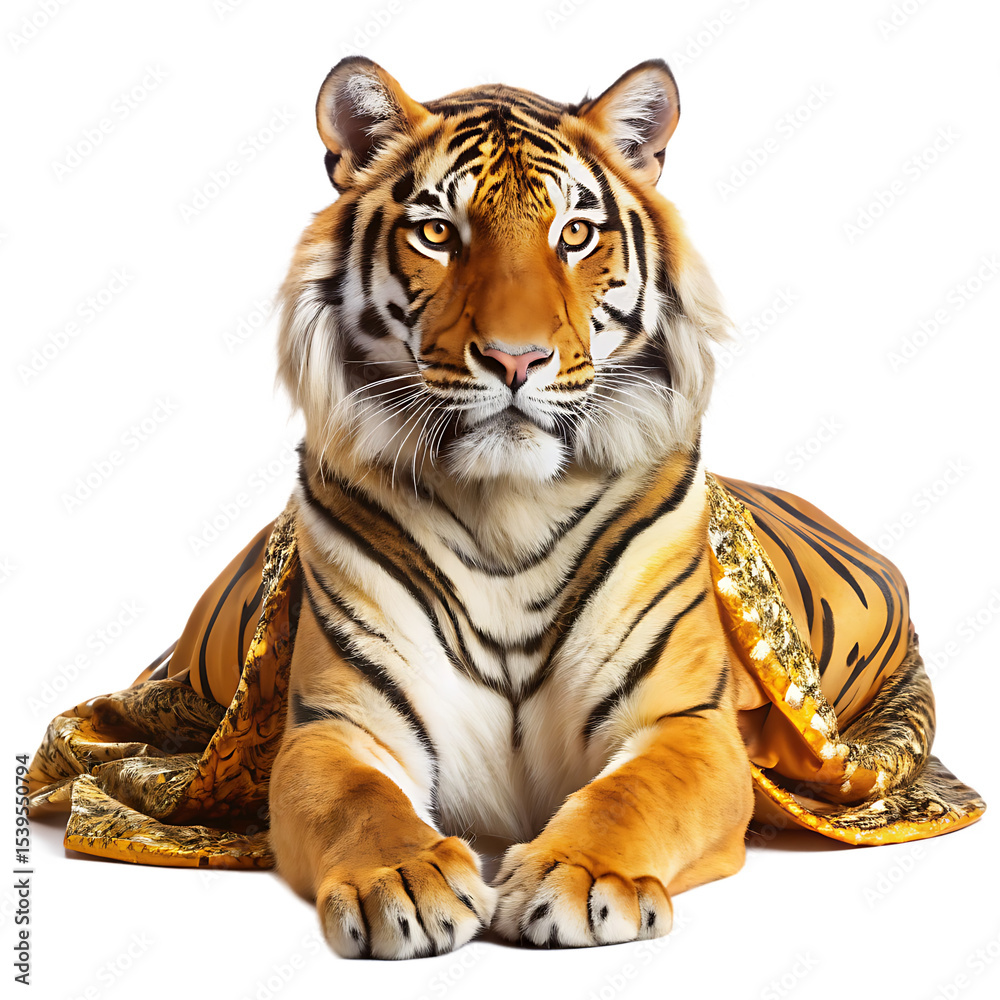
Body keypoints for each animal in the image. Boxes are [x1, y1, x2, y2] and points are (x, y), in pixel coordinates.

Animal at [264, 56, 915, 959]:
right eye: (438, 234)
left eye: (574, 234)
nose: (515, 359)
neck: (504, 508)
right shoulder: (336, 724)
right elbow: (356, 802)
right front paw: (402, 882)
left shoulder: (685, 720)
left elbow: (633, 794)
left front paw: (580, 878)